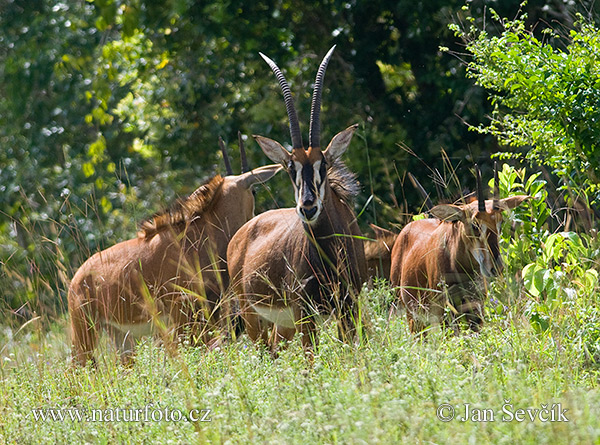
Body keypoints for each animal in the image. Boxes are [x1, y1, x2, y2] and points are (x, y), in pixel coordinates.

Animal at [67, 136, 282, 364]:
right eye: (254, 190)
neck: (199, 237)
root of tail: (76, 279)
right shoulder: (182, 313)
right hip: (85, 330)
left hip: (119, 333)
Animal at [226, 46, 366, 354]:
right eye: (291, 169)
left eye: (323, 165)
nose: (308, 208)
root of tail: (240, 234)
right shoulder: (304, 312)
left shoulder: (349, 306)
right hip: (253, 315)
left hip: (283, 324)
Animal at [392, 165, 528, 334]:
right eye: (475, 224)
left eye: (500, 222)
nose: (496, 267)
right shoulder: (444, 313)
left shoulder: (476, 311)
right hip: (412, 315)